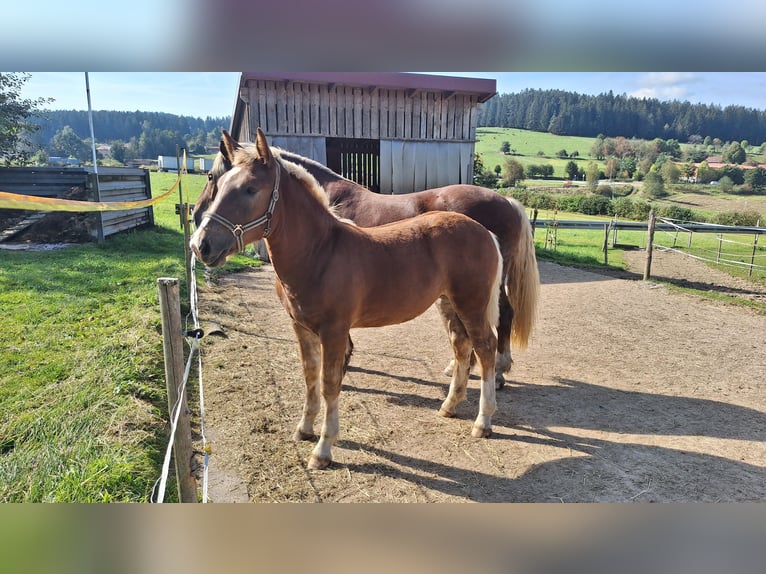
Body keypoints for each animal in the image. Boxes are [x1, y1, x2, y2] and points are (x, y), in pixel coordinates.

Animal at [190, 130, 508, 472]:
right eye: (219, 182)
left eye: (250, 189)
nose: (200, 245)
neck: (320, 252)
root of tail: (485, 232)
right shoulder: (301, 327)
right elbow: (309, 376)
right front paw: (304, 429)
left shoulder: (334, 331)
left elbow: (329, 383)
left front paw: (323, 449)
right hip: (448, 302)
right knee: (461, 345)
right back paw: (449, 406)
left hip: (472, 303)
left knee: (485, 348)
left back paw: (483, 421)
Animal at [195, 133, 544, 390]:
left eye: (211, 174)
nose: (200, 238)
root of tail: (508, 200)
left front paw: (342, 368)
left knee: (504, 316)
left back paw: (497, 372)